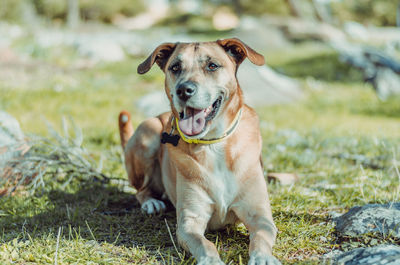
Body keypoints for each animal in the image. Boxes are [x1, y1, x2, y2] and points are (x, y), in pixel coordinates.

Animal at [120, 37, 280, 264]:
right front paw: (211, 260)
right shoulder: (189, 223)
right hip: (148, 132)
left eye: (212, 65)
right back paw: (151, 203)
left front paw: (263, 258)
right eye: (175, 67)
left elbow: (261, 238)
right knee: (141, 190)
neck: (213, 144)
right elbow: (206, 245)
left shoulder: (260, 216)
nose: (183, 90)